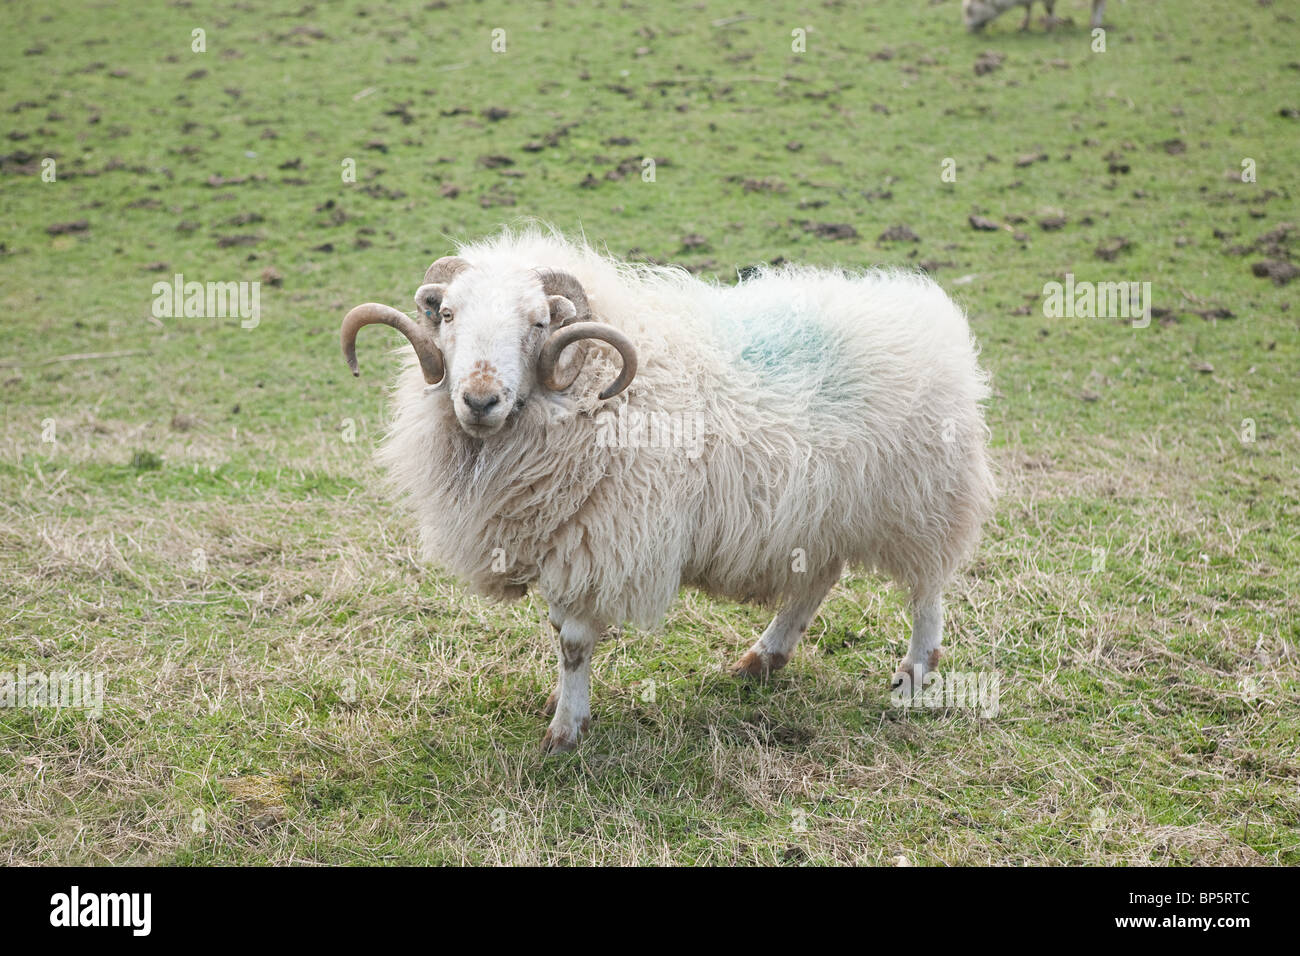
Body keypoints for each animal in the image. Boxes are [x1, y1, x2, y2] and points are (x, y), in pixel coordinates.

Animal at [338, 227, 993, 749]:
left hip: (923, 495)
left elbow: (572, 642)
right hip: (821, 509)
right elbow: (557, 633)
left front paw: (566, 731)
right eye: (448, 315)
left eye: (539, 322)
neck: (595, 390)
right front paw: (562, 702)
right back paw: (763, 659)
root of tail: (926, 304)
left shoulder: (597, 541)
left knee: (927, 589)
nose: (479, 400)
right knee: (818, 579)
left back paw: (914, 673)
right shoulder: (560, 537)